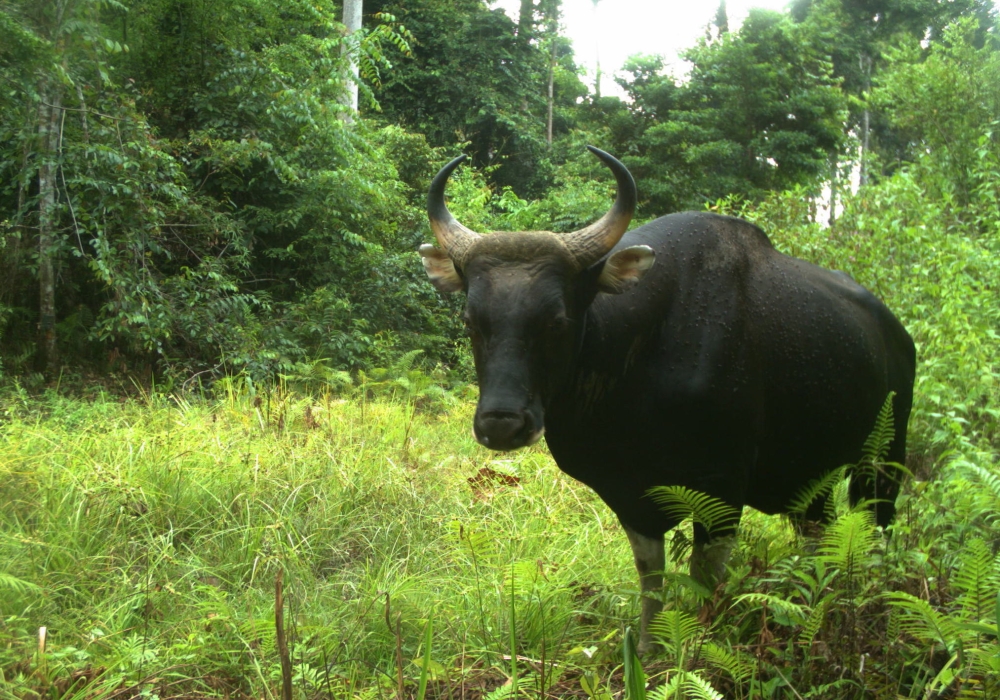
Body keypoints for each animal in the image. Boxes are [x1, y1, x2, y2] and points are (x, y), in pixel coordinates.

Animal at [418, 145, 916, 652]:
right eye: (471, 320)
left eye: (556, 319)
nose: (501, 423)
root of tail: (897, 336)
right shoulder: (629, 493)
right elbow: (651, 575)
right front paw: (648, 648)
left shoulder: (722, 490)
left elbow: (704, 576)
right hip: (809, 479)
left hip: (883, 461)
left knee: (879, 523)